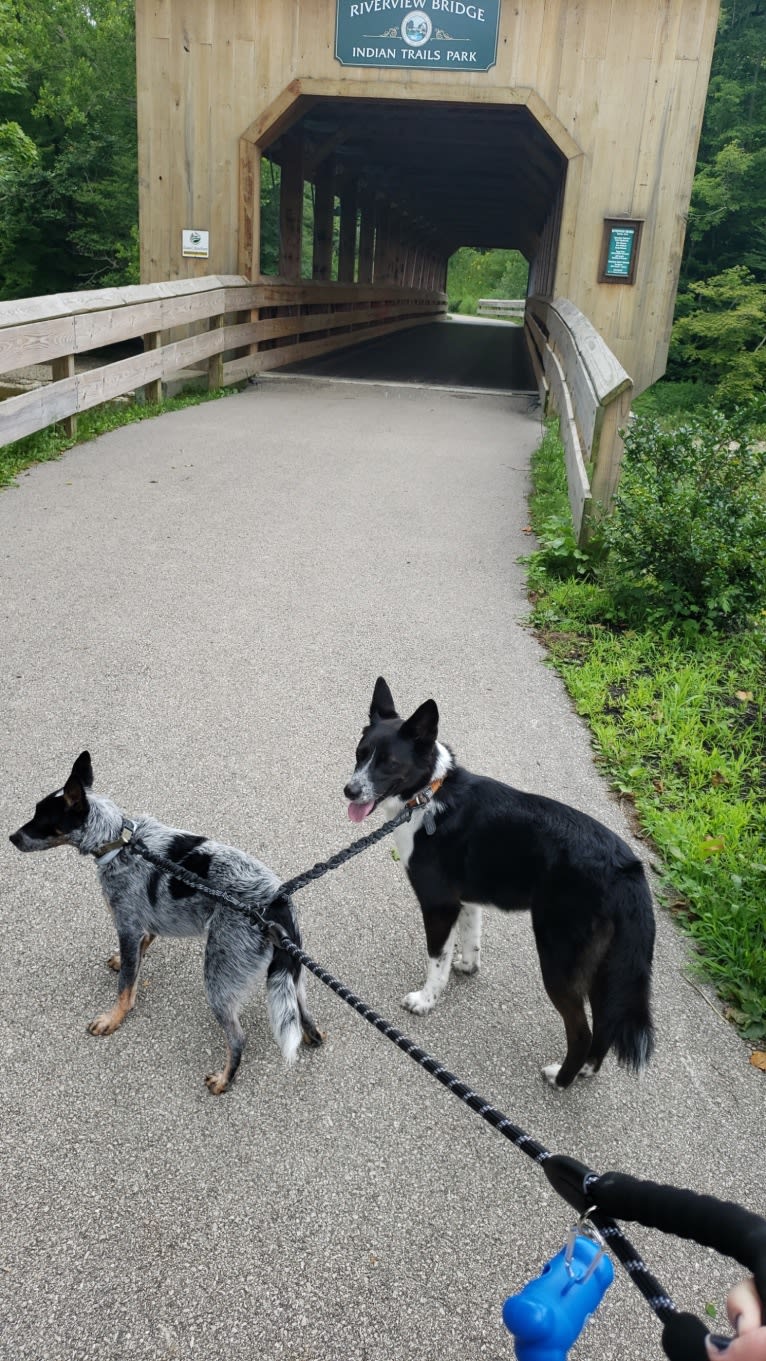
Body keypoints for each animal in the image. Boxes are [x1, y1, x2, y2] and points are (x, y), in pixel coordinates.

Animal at [11, 756, 323, 1094]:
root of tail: (277, 903)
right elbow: (137, 957)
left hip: (218, 980)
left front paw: (113, 1018)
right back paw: (311, 1036)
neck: (118, 841)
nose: (12, 838)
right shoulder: (141, 925)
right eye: (35, 811)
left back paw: (224, 1080)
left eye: (42, 818)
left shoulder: (127, 926)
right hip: (289, 975)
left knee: (238, 1038)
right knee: (304, 1015)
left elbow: (125, 987)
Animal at [344, 685, 655, 1088]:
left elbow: (436, 959)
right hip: (605, 967)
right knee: (605, 1023)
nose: (349, 790)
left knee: (581, 1030)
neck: (431, 794)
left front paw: (425, 1001)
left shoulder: (439, 905)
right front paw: (466, 966)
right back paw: (585, 1069)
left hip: (560, 958)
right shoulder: (467, 901)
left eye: (389, 763)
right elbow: (470, 941)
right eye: (360, 753)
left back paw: (561, 1078)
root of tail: (627, 868)